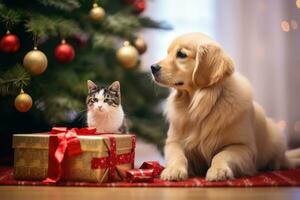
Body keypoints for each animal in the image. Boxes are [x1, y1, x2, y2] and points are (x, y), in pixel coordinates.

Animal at [152, 32, 300, 180]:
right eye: (168, 53)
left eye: (181, 54)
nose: (153, 67)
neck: (200, 104)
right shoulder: (173, 142)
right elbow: (177, 155)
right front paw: (173, 170)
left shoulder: (242, 146)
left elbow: (221, 155)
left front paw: (218, 170)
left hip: (276, 136)